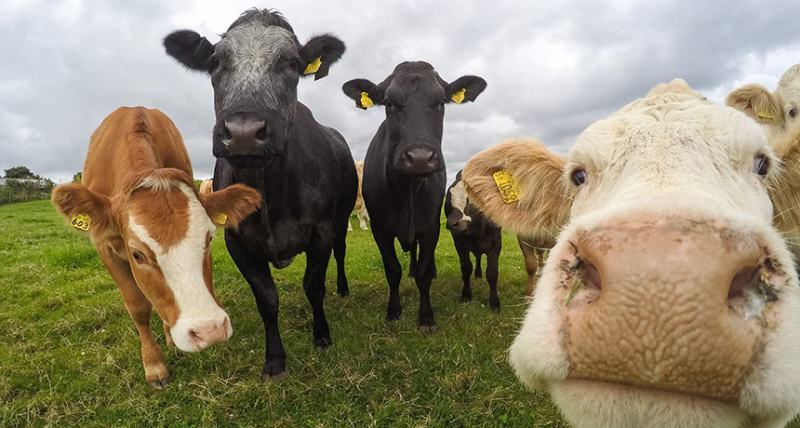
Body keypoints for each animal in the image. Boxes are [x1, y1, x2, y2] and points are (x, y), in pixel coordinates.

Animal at [50, 107, 260, 388]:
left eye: (208, 240)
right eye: (137, 254)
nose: (209, 331)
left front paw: (169, 337)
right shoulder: (106, 248)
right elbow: (138, 306)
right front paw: (153, 364)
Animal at [162, 8, 356, 380]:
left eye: (292, 62)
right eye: (216, 61)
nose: (244, 132)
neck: (270, 196)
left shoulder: (321, 231)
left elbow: (314, 286)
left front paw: (322, 334)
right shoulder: (237, 241)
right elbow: (267, 300)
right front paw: (275, 359)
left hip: (342, 219)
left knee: (339, 253)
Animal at [340, 61, 484, 332]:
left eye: (440, 102)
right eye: (388, 103)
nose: (419, 157)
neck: (407, 192)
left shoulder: (430, 226)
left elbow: (424, 275)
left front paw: (426, 317)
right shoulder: (380, 228)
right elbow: (392, 270)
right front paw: (393, 310)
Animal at [444, 170, 500, 310]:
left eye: (472, 198)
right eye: (448, 198)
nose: (453, 223)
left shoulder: (496, 245)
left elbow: (492, 273)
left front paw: (494, 302)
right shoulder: (459, 244)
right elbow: (466, 269)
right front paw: (466, 294)